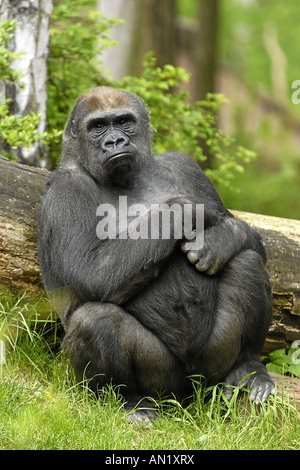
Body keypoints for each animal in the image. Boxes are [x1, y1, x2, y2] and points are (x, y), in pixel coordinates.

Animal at [37, 86, 274, 420]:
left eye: (124, 122)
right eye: (98, 127)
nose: (114, 142)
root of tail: (188, 398)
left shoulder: (185, 166)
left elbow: (252, 240)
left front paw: (220, 239)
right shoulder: (64, 190)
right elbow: (92, 272)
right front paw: (185, 210)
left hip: (210, 371)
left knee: (246, 261)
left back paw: (247, 366)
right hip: (164, 384)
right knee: (94, 319)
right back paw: (127, 400)